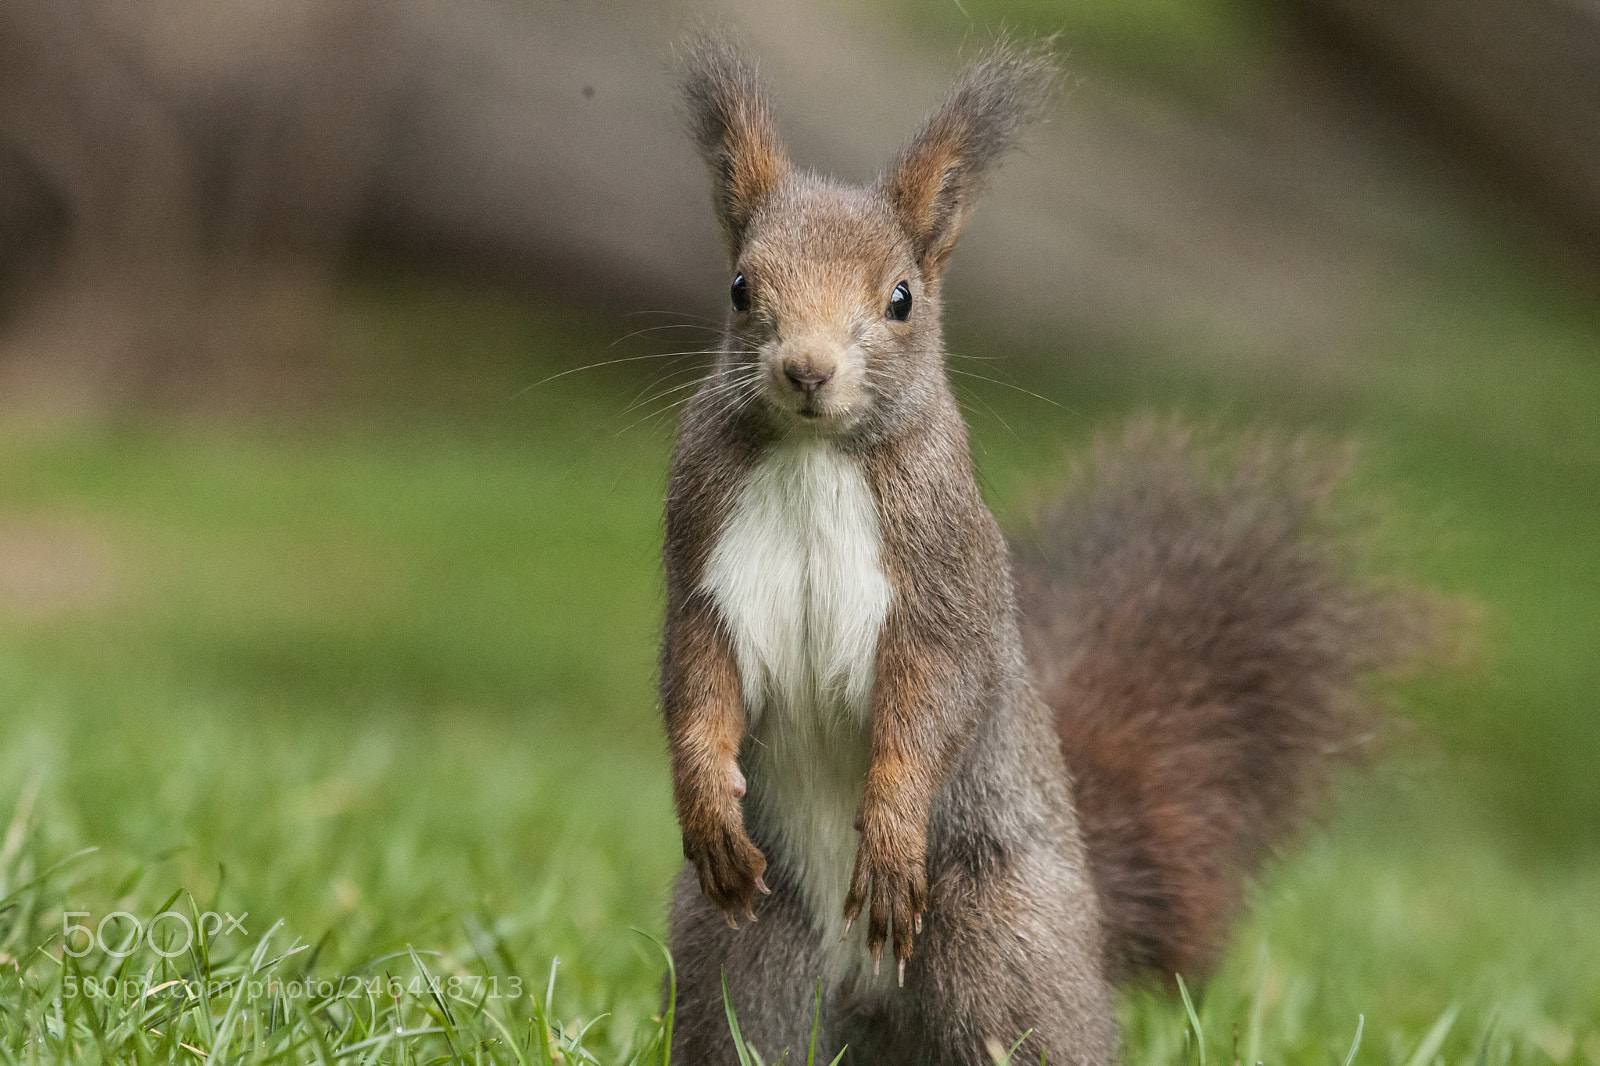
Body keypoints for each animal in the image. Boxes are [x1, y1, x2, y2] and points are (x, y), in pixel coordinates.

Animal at [660, 32, 1419, 1065]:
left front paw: (891, 832)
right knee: (746, 1022)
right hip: (746, 958)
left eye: (901, 299)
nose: (807, 370)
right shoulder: (701, 552)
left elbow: (933, 700)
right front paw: (706, 801)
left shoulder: (944, 578)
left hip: (1001, 941)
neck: (816, 456)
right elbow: (697, 677)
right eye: (740, 287)